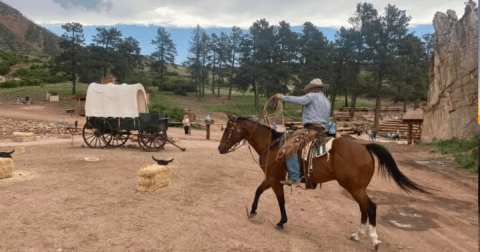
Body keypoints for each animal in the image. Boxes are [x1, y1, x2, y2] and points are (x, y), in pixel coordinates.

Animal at [218, 115, 432, 251]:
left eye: (228, 129)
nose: (220, 148)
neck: (271, 146)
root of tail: (365, 146)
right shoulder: (275, 179)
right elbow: (274, 197)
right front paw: (278, 219)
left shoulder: (272, 178)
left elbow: (266, 194)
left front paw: (262, 215)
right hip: (358, 188)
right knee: (364, 208)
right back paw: (357, 235)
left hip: (355, 188)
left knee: (370, 207)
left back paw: (374, 240)